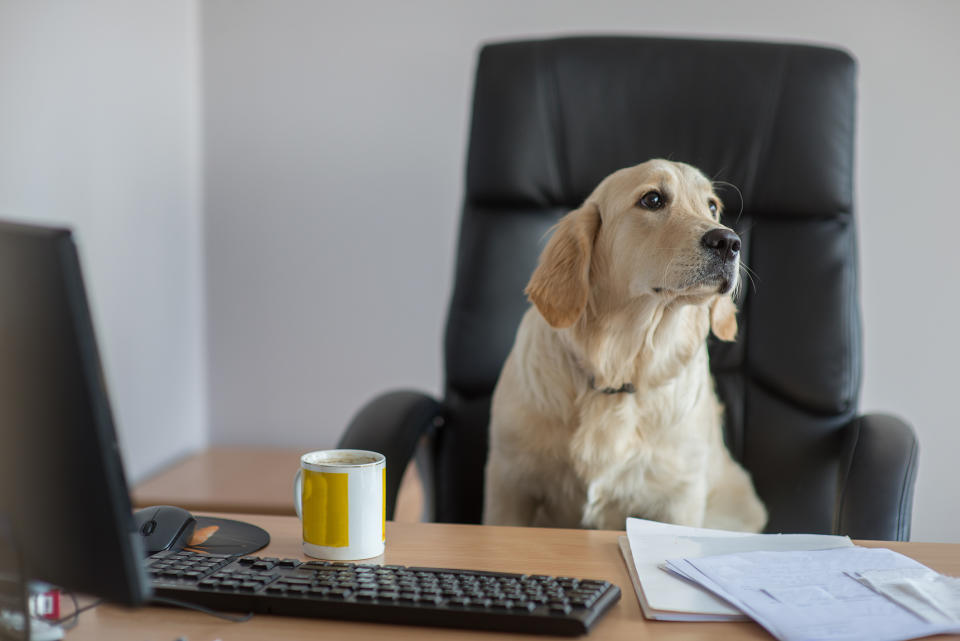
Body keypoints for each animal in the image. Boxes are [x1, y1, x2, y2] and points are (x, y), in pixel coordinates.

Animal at [484, 159, 768, 528]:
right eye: (652, 199)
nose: (729, 242)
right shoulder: (509, 484)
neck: (619, 370)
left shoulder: (679, 498)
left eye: (712, 206)